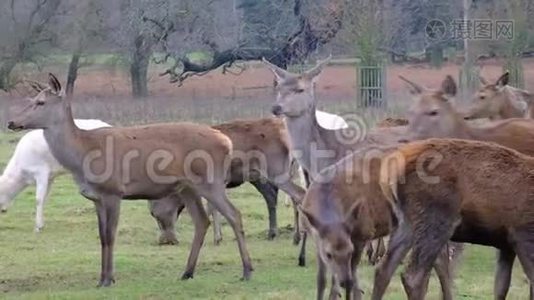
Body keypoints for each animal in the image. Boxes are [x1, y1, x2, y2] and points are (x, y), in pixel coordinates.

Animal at [6, 74, 253, 288]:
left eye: (40, 102)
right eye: (30, 100)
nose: (11, 121)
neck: (82, 155)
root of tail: (226, 141)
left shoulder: (113, 191)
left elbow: (110, 236)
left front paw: (108, 279)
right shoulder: (96, 198)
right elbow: (102, 237)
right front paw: (103, 279)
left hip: (211, 181)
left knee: (234, 214)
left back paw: (247, 271)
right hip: (187, 186)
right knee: (202, 221)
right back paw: (187, 272)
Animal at [149, 116, 308, 245]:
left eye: (154, 214)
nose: (164, 241)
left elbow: (213, 207)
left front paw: (216, 237)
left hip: (277, 170)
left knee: (293, 195)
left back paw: (292, 235)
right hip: (270, 172)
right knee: (280, 196)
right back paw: (287, 235)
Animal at [378, 139, 534, 300]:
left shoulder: (506, 244)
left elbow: (501, 287)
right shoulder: (523, 234)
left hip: (404, 222)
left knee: (383, 269)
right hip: (435, 219)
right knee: (413, 276)